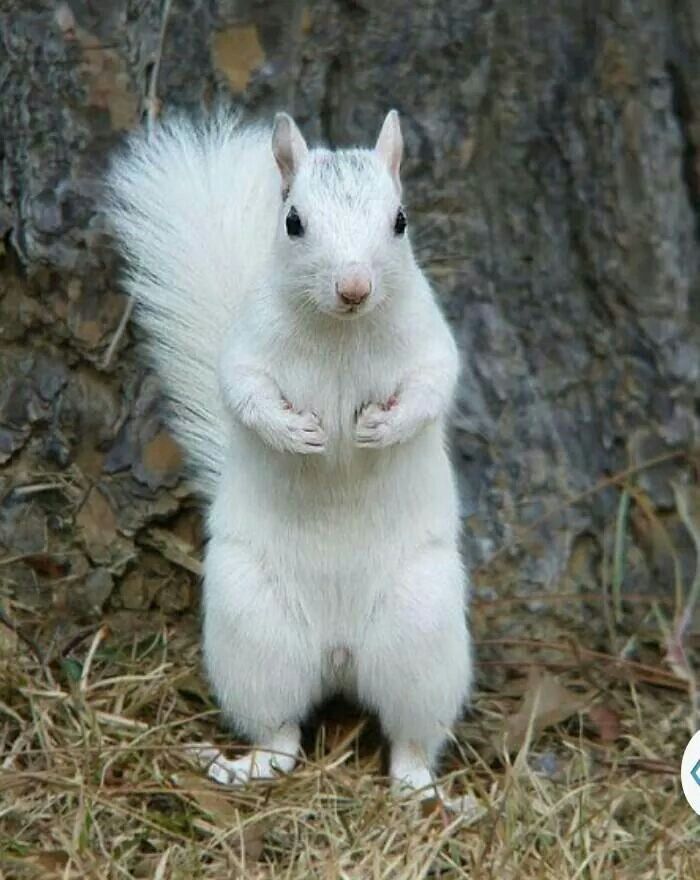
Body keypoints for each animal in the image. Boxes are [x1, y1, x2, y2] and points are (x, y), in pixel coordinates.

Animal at [107, 109, 473, 801]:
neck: (341, 332)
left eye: (400, 220)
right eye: (294, 221)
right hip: (256, 630)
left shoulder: (432, 344)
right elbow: (245, 394)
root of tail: (339, 654)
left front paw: (381, 428)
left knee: (411, 740)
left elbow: (431, 388)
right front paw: (295, 432)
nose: (353, 287)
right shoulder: (247, 350)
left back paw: (426, 790)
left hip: (421, 628)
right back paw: (240, 765)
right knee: (279, 735)